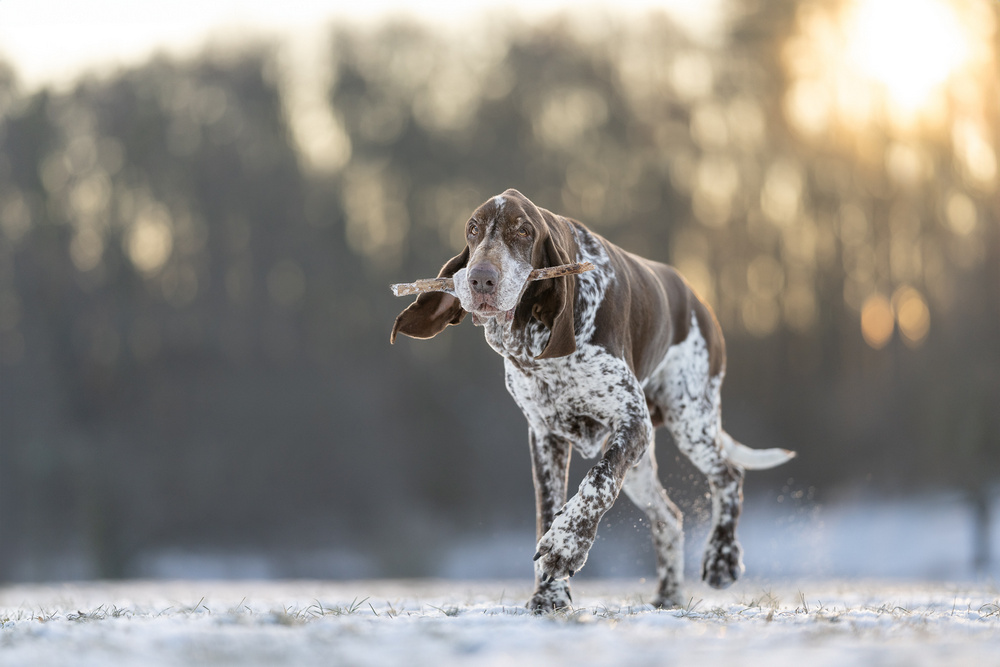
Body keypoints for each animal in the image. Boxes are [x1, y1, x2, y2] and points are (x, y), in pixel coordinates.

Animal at [386, 188, 792, 612]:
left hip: (690, 421)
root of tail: (699, 300)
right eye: (473, 229)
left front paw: (567, 546)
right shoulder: (545, 438)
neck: (539, 339)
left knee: (729, 475)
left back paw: (721, 558)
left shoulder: (631, 421)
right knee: (670, 516)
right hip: (645, 463)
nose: (481, 278)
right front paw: (549, 594)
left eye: (523, 230)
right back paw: (669, 593)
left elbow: (599, 481)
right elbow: (548, 509)